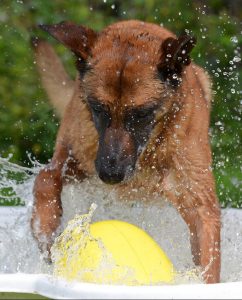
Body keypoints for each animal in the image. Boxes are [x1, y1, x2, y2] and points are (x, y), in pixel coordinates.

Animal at [31, 20, 220, 284]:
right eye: (99, 109)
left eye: (141, 114)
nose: (111, 175)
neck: (148, 153)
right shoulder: (76, 159)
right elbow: (46, 178)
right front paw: (46, 229)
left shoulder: (198, 201)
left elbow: (208, 255)